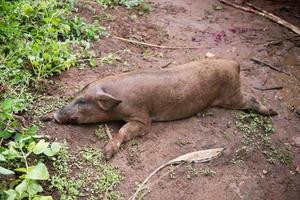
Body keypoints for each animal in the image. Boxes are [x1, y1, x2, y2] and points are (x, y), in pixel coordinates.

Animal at [53, 57, 276, 159]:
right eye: (76, 96)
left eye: (82, 102)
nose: (55, 115)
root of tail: (234, 64)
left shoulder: (142, 118)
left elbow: (126, 130)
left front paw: (106, 155)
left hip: (232, 96)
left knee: (251, 98)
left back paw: (273, 113)